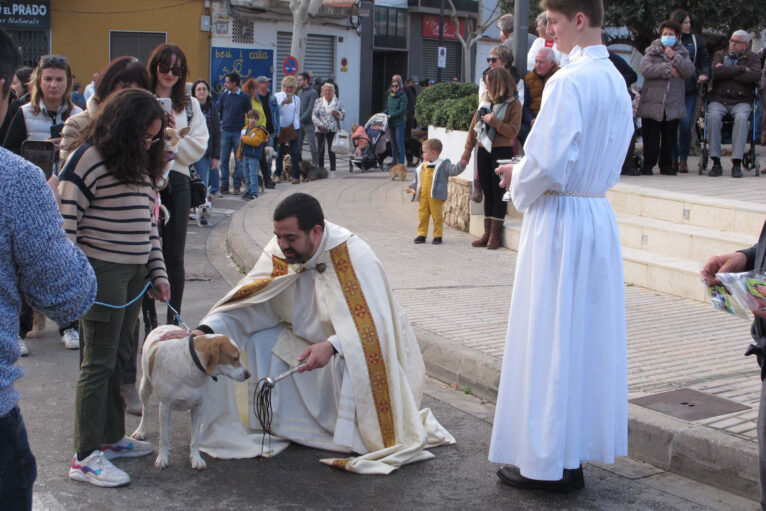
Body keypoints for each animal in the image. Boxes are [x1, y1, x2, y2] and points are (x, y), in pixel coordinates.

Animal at [132, 326, 250, 470]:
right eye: (235, 358)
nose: (248, 374)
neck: (190, 367)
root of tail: (162, 326)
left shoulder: (197, 408)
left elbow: (195, 439)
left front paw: (196, 459)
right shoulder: (165, 407)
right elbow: (164, 439)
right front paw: (162, 458)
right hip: (145, 387)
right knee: (146, 411)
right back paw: (141, 431)